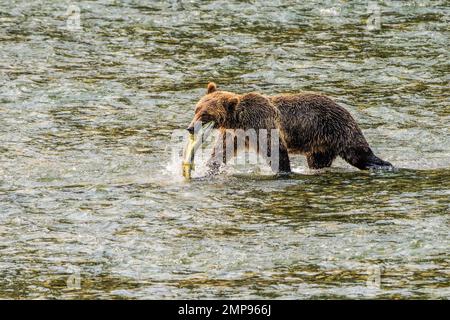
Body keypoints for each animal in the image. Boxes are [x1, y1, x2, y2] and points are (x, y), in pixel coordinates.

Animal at [185, 81, 390, 174]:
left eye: (205, 114)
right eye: (196, 109)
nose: (190, 128)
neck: (238, 120)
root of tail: (344, 108)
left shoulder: (261, 125)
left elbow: (276, 150)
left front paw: (283, 171)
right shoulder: (235, 134)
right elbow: (222, 151)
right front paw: (210, 168)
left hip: (336, 128)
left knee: (358, 152)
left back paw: (383, 164)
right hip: (320, 146)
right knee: (319, 160)